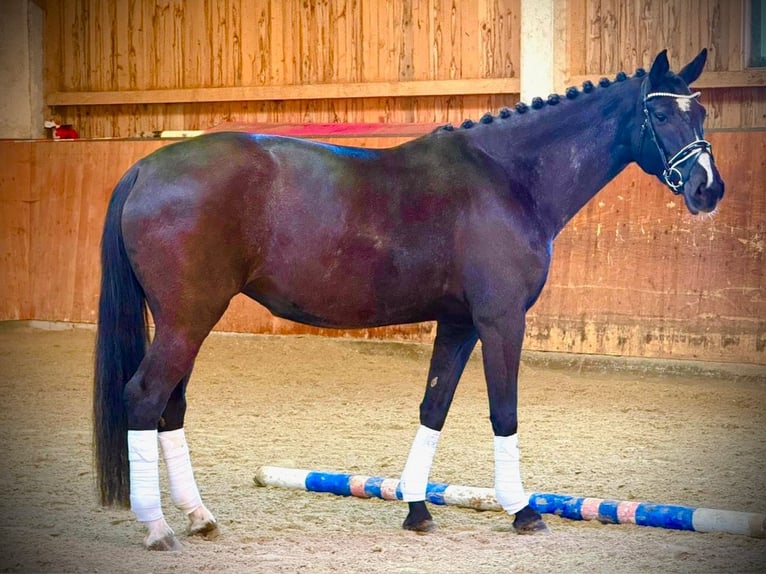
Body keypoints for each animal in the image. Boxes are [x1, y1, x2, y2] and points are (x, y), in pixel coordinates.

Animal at [94, 49, 724, 550]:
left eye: (700, 113)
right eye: (660, 113)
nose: (709, 188)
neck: (508, 179)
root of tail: (145, 166)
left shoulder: (459, 324)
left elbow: (433, 408)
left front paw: (417, 509)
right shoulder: (500, 321)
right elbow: (504, 411)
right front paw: (523, 511)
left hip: (187, 321)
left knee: (171, 406)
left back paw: (199, 516)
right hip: (188, 319)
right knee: (146, 398)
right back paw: (158, 527)